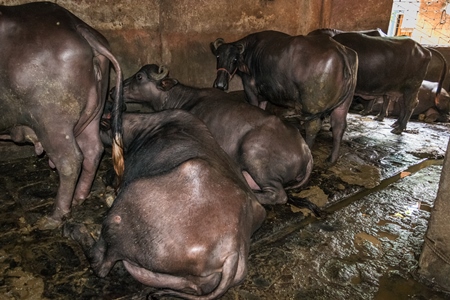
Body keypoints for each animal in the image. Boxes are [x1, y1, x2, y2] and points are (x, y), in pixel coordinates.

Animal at [0, 1, 123, 230]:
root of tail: (79, 28)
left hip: (51, 117)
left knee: (70, 160)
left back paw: (52, 218)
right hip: (94, 109)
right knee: (93, 150)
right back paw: (79, 199)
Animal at [209, 29, 356, 165]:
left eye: (234, 60)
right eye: (218, 57)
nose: (220, 85)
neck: (250, 52)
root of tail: (342, 52)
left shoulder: (249, 88)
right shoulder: (265, 92)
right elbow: (262, 109)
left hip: (312, 106)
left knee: (313, 127)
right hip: (343, 104)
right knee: (338, 126)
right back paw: (332, 159)